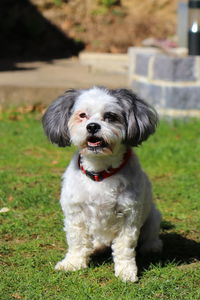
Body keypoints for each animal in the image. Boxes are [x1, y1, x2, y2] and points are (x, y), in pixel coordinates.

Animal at [42, 86, 162, 282]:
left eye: (110, 116)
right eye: (82, 115)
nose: (92, 126)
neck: (100, 172)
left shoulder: (128, 216)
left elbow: (125, 247)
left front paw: (126, 271)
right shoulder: (75, 213)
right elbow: (77, 240)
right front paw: (73, 263)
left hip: (153, 216)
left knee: (150, 234)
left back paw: (152, 246)